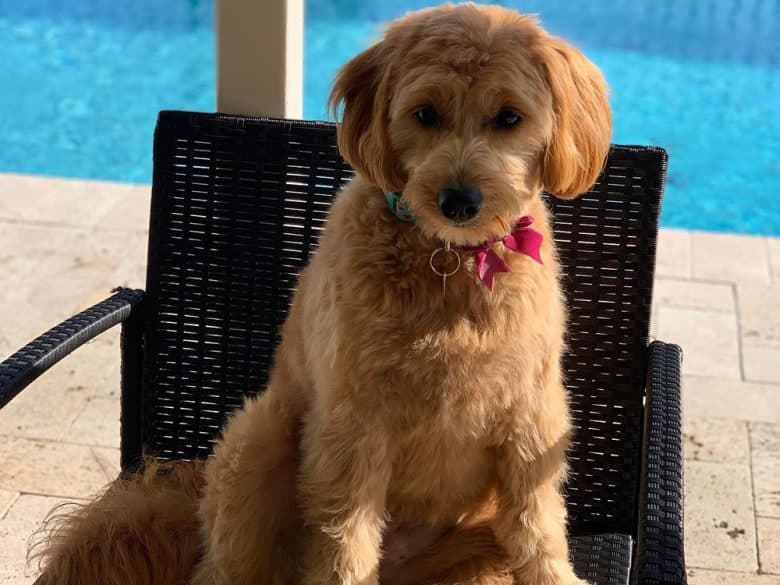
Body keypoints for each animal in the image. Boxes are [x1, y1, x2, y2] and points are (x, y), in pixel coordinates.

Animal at [36, 4, 608, 584]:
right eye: (425, 114)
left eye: (510, 117)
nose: (460, 201)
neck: (451, 261)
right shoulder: (354, 426)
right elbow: (344, 541)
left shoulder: (530, 419)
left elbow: (538, 527)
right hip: (257, 441)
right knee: (226, 566)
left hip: (475, 552)